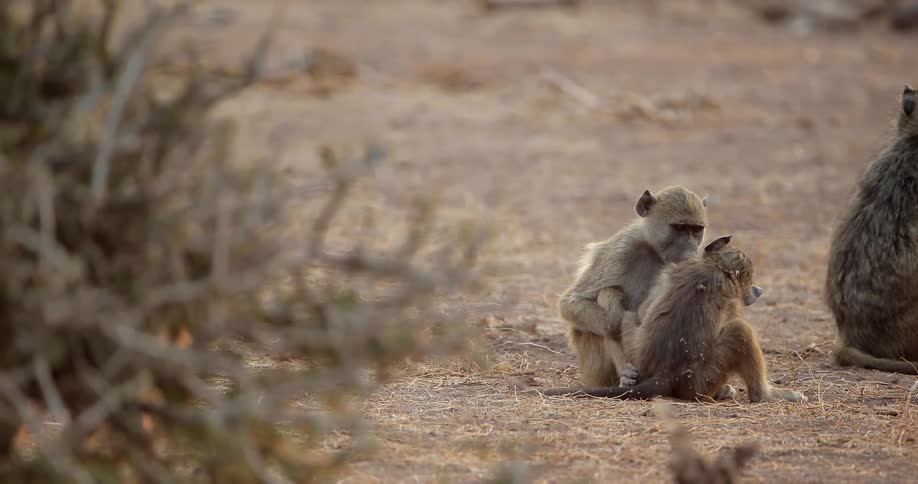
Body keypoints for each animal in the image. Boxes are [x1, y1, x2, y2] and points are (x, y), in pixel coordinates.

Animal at [542, 235, 807, 403]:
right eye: (749, 279)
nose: (758, 291)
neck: (715, 268)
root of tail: (665, 375)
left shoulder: (670, 272)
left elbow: (642, 312)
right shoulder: (731, 300)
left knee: (612, 297)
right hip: (699, 382)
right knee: (739, 330)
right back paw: (764, 396)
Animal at [558, 186, 708, 388]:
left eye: (696, 230)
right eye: (679, 228)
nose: (690, 252)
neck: (654, 250)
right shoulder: (622, 248)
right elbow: (571, 302)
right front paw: (617, 322)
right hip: (596, 370)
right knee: (608, 293)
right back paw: (626, 376)